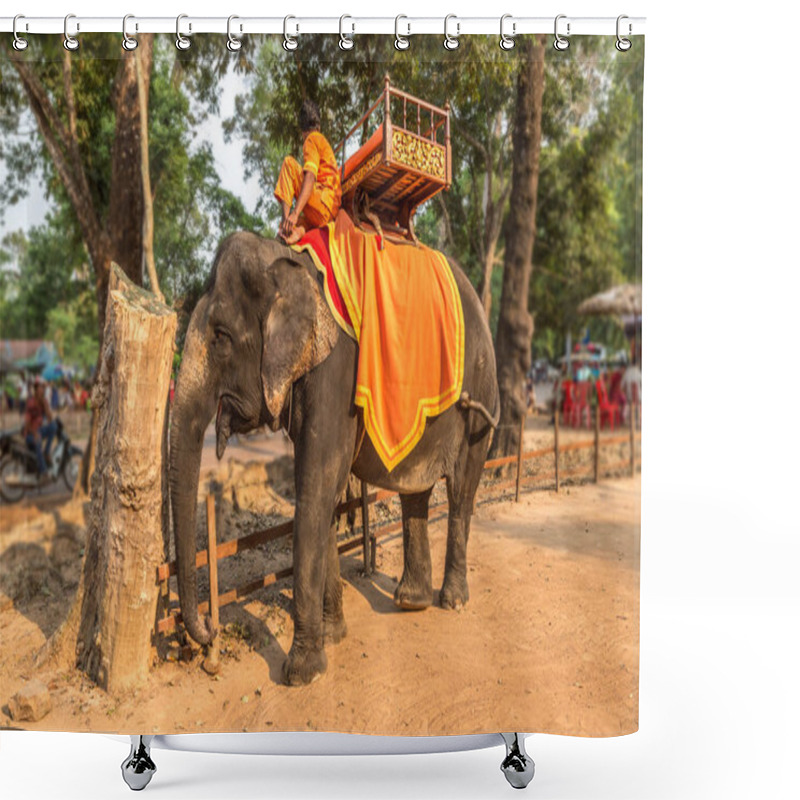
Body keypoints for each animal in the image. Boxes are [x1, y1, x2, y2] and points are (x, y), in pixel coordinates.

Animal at [171, 233, 496, 688]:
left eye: (221, 336)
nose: (211, 630)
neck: (285, 260)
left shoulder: (337, 371)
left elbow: (317, 483)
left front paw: (300, 673)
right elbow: (319, 492)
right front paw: (332, 636)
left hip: (479, 400)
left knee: (462, 490)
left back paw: (452, 601)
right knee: (415, 491)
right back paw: (411, 602)